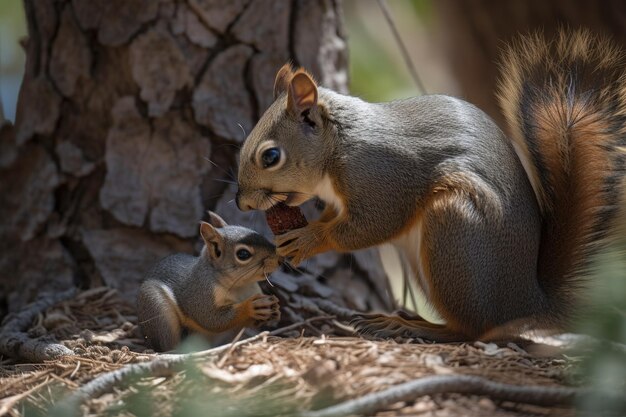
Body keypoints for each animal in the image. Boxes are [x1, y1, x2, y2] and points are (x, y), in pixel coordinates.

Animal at [140, 211, 282, 352]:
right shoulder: (201, 292)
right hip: (157, 307)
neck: (241, 285)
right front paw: (249, 307)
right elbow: (212, 319)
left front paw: (275, 309)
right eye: (243, 254)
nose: (279, 258)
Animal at [235, 30, 624, 342]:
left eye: (271, 156)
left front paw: (310, 238)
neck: (338, 144)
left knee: (471, 329)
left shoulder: (381, 176)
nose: (241, 203)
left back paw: (410, 326)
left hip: (454, 230)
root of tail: (526, 301)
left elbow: (372, 225)